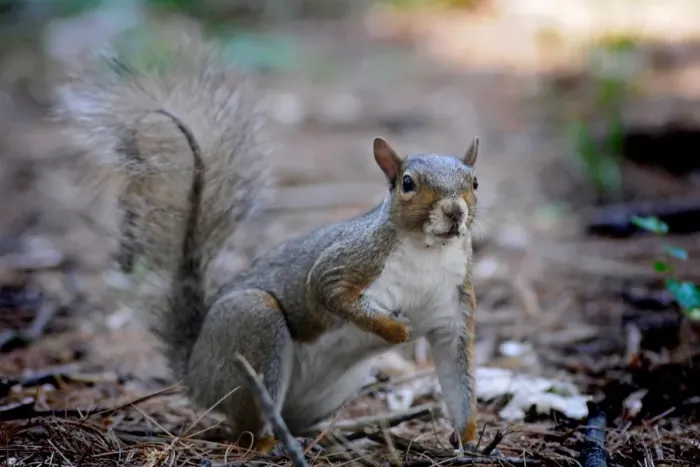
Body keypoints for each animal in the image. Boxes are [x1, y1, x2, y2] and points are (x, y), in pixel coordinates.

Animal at [55, 38, 482, 454]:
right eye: (408, 183)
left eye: (474, 182)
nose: (455, 211)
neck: (427, 252)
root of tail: (193, 370)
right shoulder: (352, 260)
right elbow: (327, 289)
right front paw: (394, 329)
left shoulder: (452, 313)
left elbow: (457, 381)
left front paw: (470, 439)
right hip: (253, 327)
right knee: (244, 424)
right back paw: (267, 443)